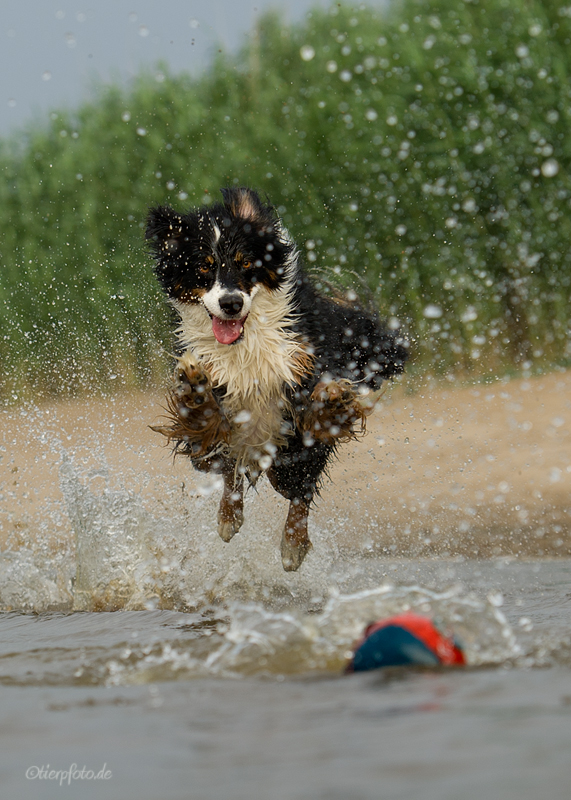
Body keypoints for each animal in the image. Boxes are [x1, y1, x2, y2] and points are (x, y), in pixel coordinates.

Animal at [145, 187, 408, 568]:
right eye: (204, 267)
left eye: (245, 263)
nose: (231, 303)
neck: (245, 344)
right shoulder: (214, 414)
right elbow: (207, 423)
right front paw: (194, 388)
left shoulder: (303, 365)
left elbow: (314, 411)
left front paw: (330, 402)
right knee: (232, 469)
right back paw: (230, 517)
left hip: (290, 457)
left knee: (299, 489)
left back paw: (293, 545)